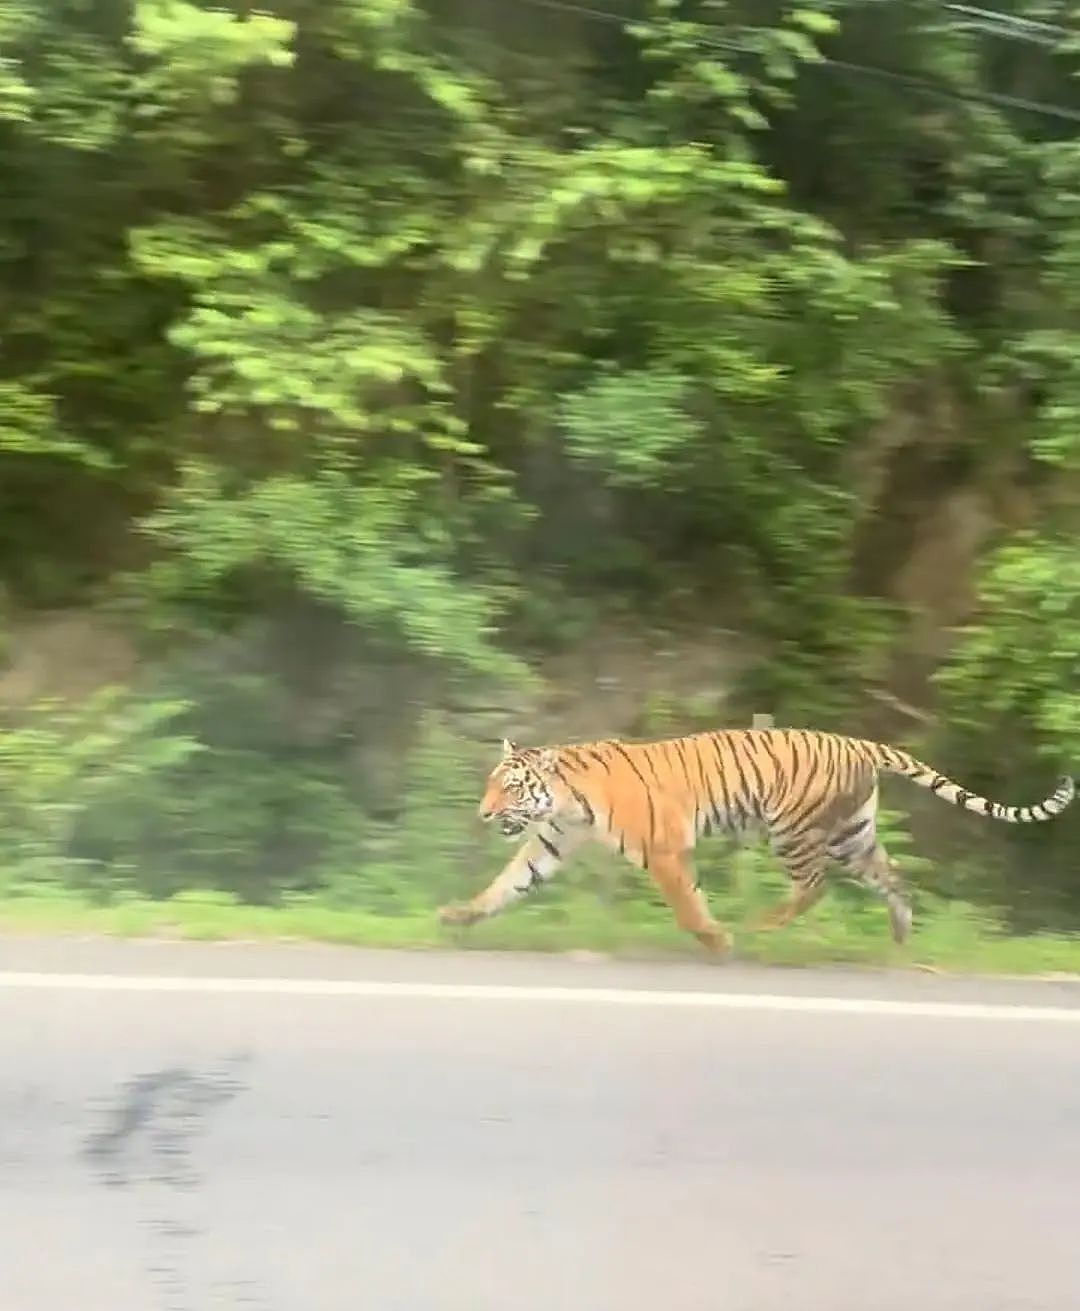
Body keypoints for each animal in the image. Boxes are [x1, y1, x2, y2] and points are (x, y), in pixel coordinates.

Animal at [437, 729, 1075, 953]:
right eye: (489, 784)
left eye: (509, 787)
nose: (483, 813)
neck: (567, 800)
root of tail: (858, 742)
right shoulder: (551, 843)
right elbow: (507, 884)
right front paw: (460, 915)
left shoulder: (664, 848)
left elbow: (686, 903)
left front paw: (717, 939)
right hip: (853, 836)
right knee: (894, 879)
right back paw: (899, 939)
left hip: (793, 830)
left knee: (814, 885)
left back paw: (761, 927)